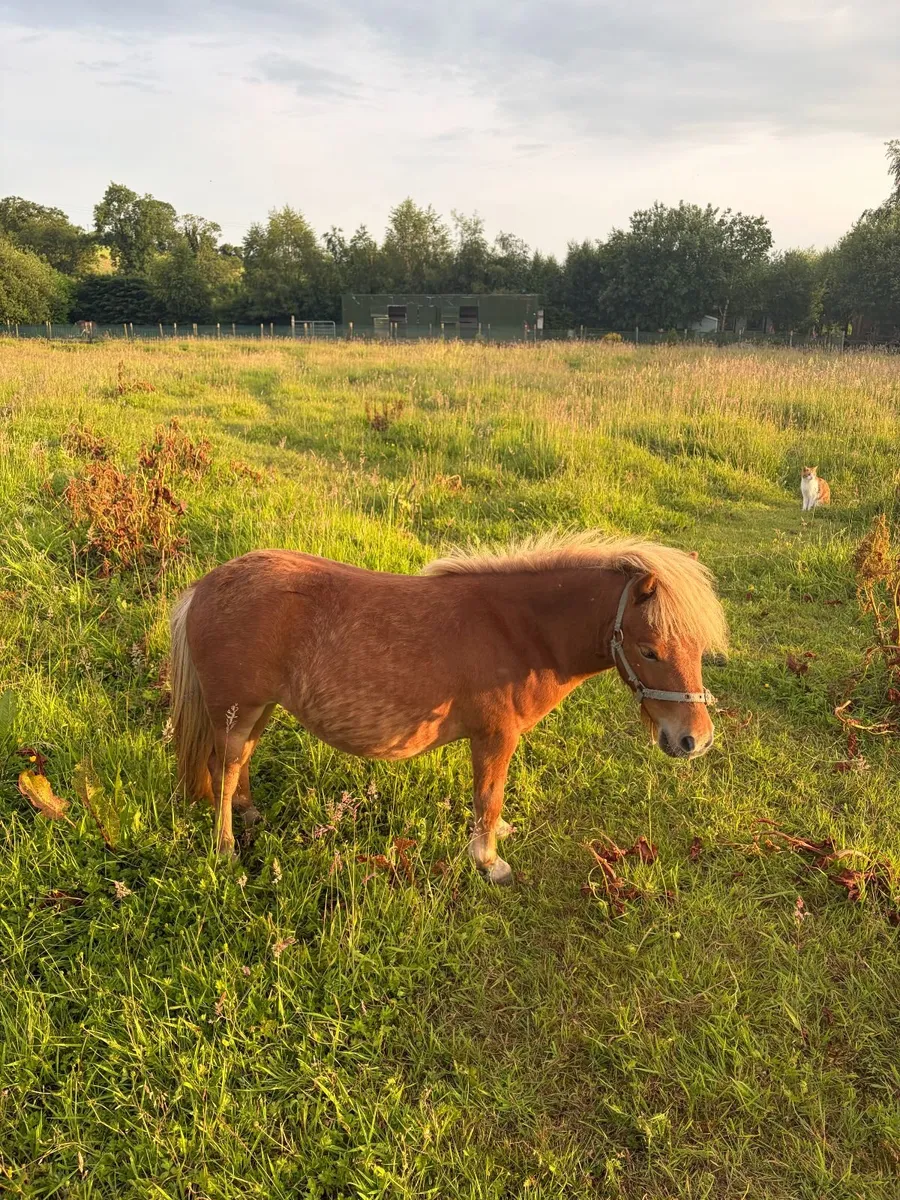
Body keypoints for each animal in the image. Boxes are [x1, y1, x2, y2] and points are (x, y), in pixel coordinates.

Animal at [169, 533, 728, 882]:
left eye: (697, 647)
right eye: (650, 650)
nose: (694, 740)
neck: (518, 630)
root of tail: (202, 588)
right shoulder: (495, 737)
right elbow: (489, 796)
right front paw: (489, 860)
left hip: (257, 709)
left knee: (239, 762)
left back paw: (248, 813)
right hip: (235, 709)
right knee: (222, 769)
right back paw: (225, 848)